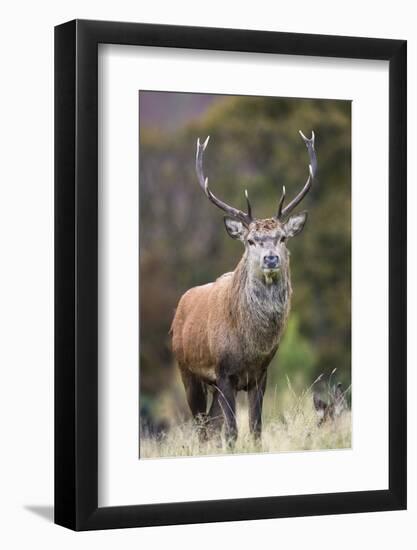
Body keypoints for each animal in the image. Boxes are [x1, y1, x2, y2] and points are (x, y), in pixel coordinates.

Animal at [171, 132, 316, 446]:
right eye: (250, 240)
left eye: (283, 237)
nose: (271, 258)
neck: (250, 348)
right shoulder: (224, 372)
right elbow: (232, 433)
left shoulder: (260, 374)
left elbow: (256, 428)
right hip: (187, 371)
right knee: (201, 428)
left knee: (211, 425)